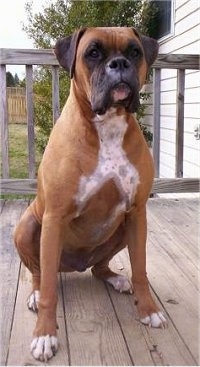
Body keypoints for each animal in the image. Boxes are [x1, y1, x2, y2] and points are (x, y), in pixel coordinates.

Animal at [14, 26, 166, 362]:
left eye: (134, 51)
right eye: (92, 53)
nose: (119, 64)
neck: (106, 125)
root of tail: (74, 266)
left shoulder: (137, 212)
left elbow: (141, 269)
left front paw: (148, 309)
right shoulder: (54, 217)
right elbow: (49, 289)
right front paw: (45, 334)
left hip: (121, 230)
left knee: (99, 268)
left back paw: (116, 278)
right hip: (28, 226)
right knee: (39, 272)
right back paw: (34, 294)